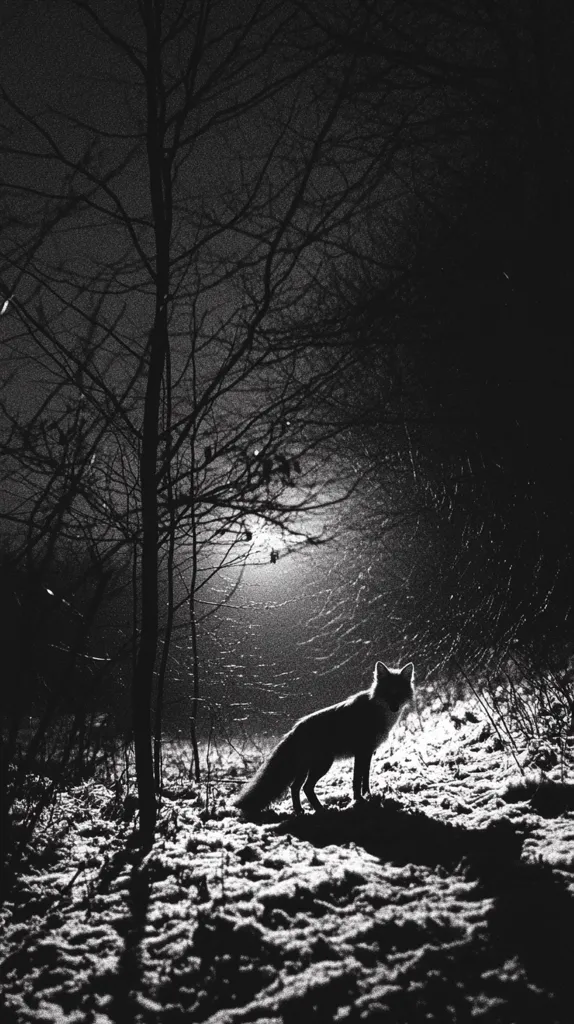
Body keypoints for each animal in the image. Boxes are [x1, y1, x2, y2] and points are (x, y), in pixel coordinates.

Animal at [235, 661, 415, 816]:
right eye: (387, 692)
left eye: (399, 693)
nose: (394, 707)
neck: (378, 714)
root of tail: (295, 729)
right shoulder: (361, 752)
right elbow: (357, 780)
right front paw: (358, 800)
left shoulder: (368, 752)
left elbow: (365, 778)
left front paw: (368, 796)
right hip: (322, 765)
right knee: (306, 787)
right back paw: (320, 809)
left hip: (307, 768)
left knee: (295, 787)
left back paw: (301, 811)